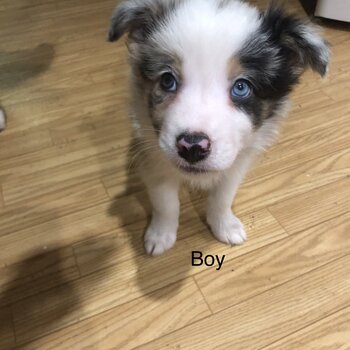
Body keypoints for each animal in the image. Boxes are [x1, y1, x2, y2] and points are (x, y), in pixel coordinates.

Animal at [108, 1, 330, 256]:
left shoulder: (235, 164)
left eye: (242, 87)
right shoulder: (155, 160)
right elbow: (165, 203)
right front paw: (160, 235)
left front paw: (225, 226)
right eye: (167, 80)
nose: (192, 147)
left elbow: (223, 198)